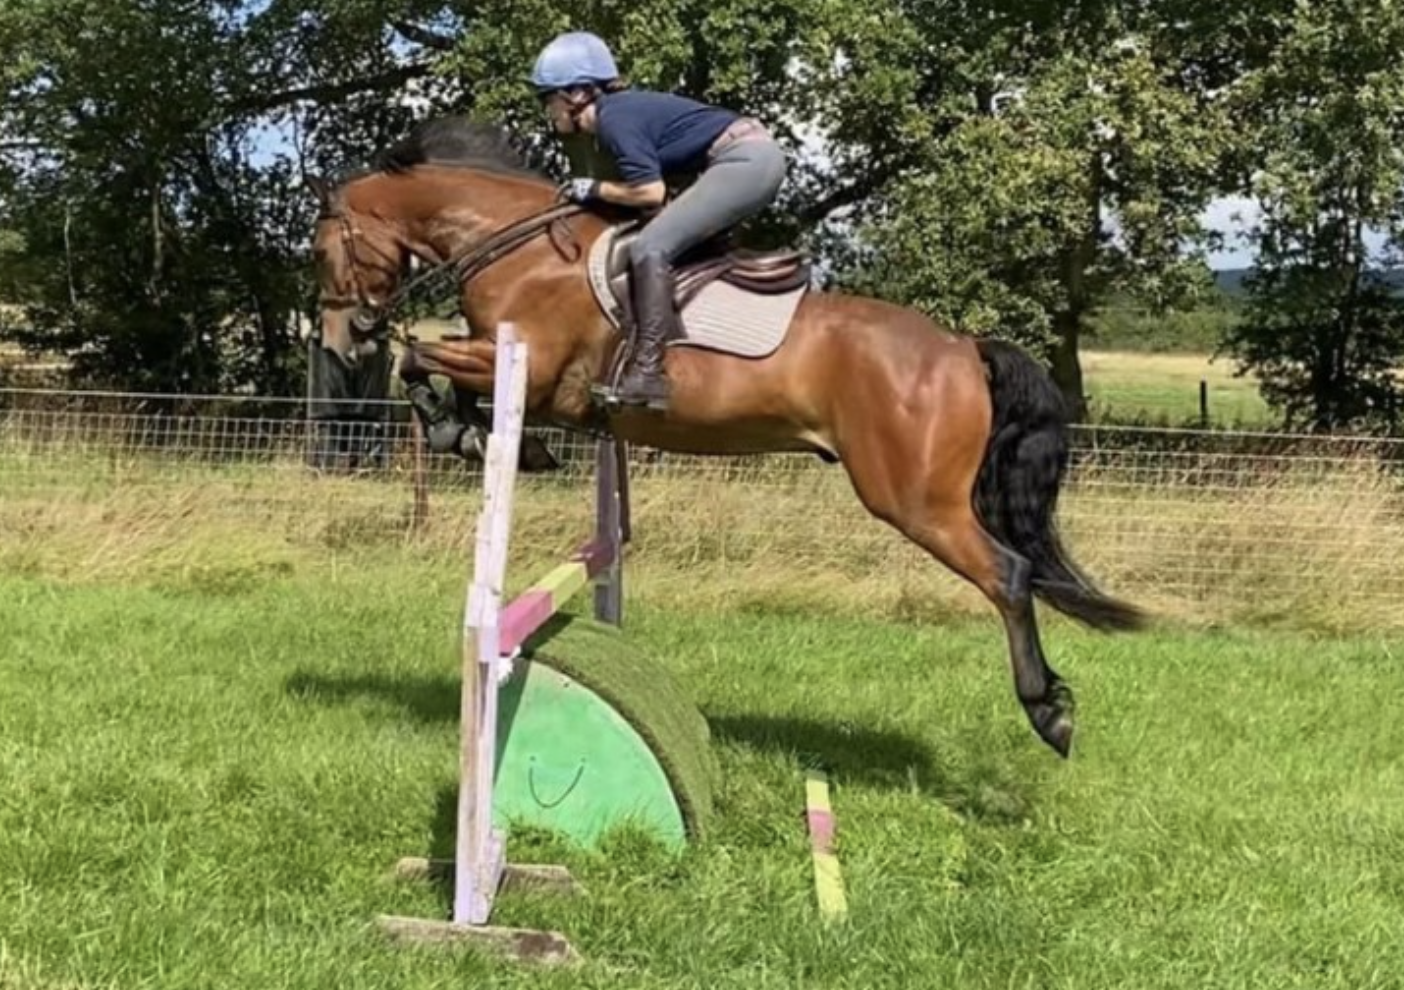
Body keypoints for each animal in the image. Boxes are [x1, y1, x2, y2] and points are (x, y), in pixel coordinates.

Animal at [304, 116, 1146, 758]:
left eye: (321, 250)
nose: (342, 342)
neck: (514, 244)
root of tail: (962, 347)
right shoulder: (522, 374)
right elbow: (434, 370)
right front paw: (482, 436)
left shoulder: (528, 368)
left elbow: (419, 358)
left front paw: (462, 429)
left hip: (914, 499)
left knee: (1009, 574)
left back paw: (1048, 711)